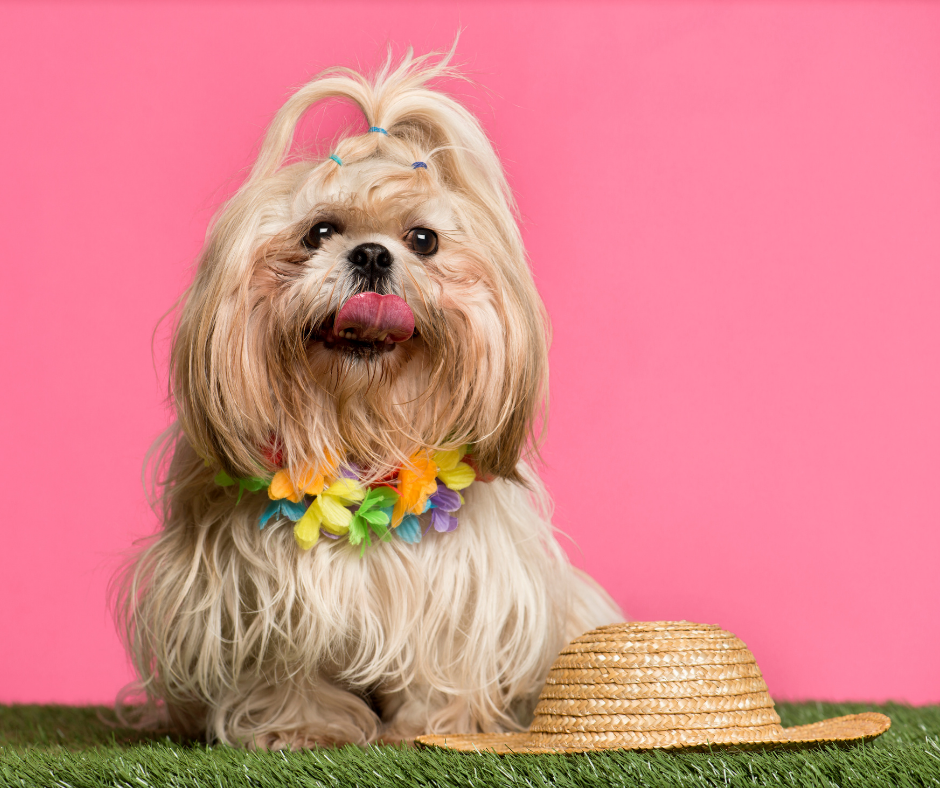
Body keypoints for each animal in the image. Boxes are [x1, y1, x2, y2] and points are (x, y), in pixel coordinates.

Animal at [114, 50, 620, 752]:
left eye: (424, 239)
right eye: (319, 231)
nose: (374, 253)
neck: (358, 424)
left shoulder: (462, 586)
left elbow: (442, 658)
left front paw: (434, 727)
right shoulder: (256, 593)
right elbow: (285, 666)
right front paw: (302, 727)